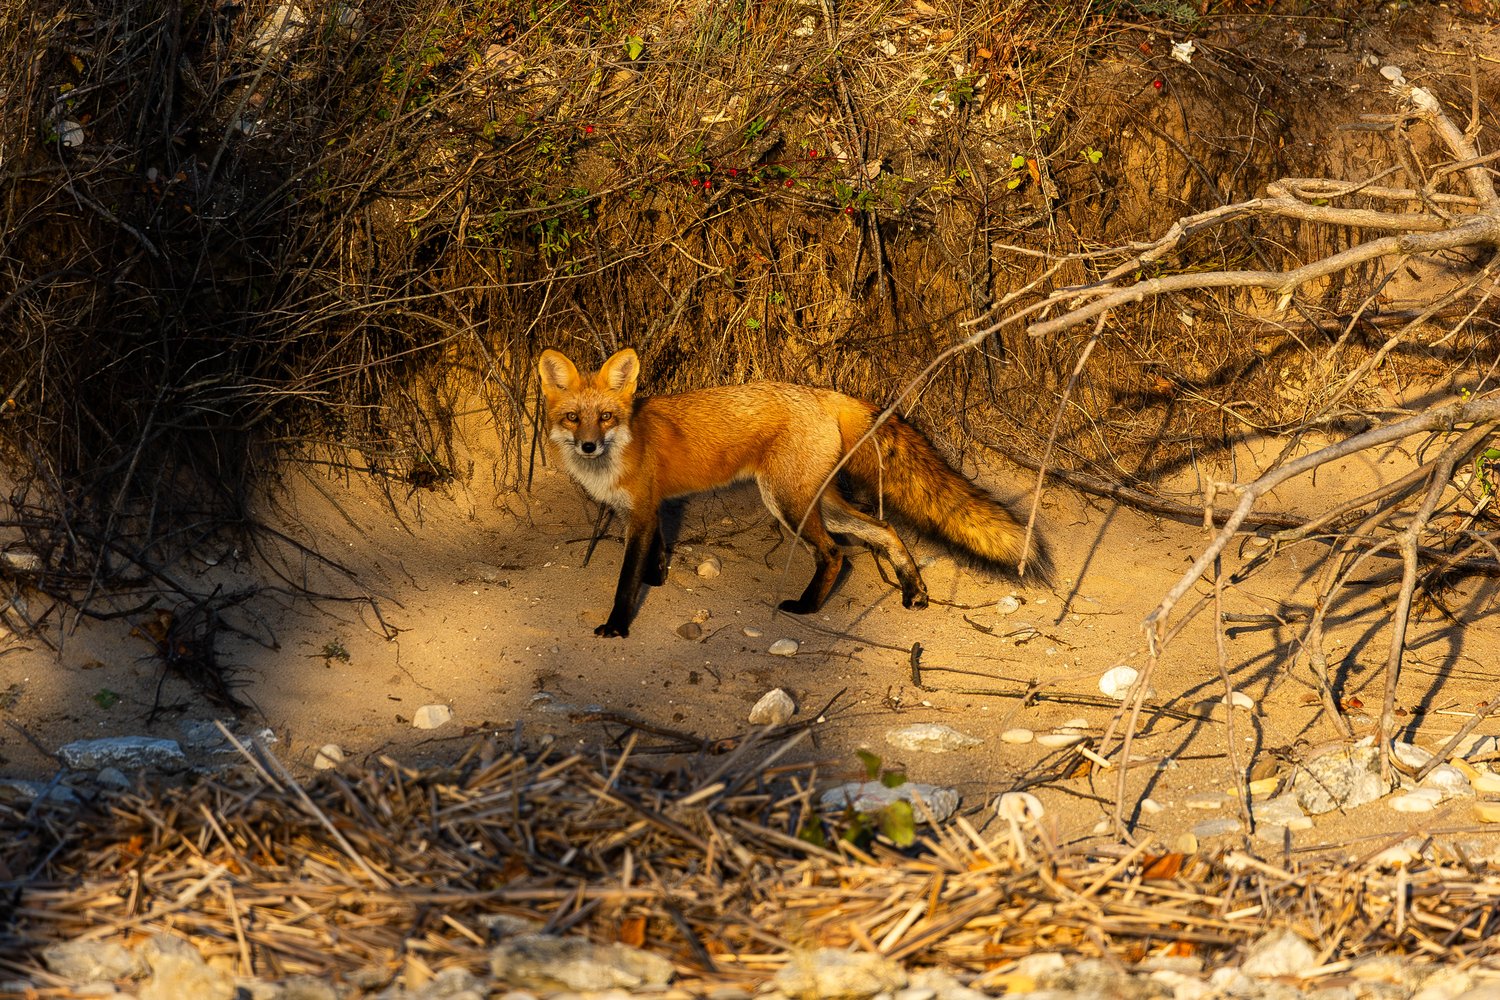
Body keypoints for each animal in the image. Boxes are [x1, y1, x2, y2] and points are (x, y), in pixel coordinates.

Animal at [538, 347, 1045, 638]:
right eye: (572, 418)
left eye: (605, 417)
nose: (587, 445)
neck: (622, 446)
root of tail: (824, 393)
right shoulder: (647, 510)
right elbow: (657, 554)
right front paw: (657, 579)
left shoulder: (642, 511)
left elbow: (626, 580)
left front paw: (617, 625)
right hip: (821, 502)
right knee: (883, 529)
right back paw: (913, 589)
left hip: (788, 503)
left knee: (835, 553)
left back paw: (806, 607)